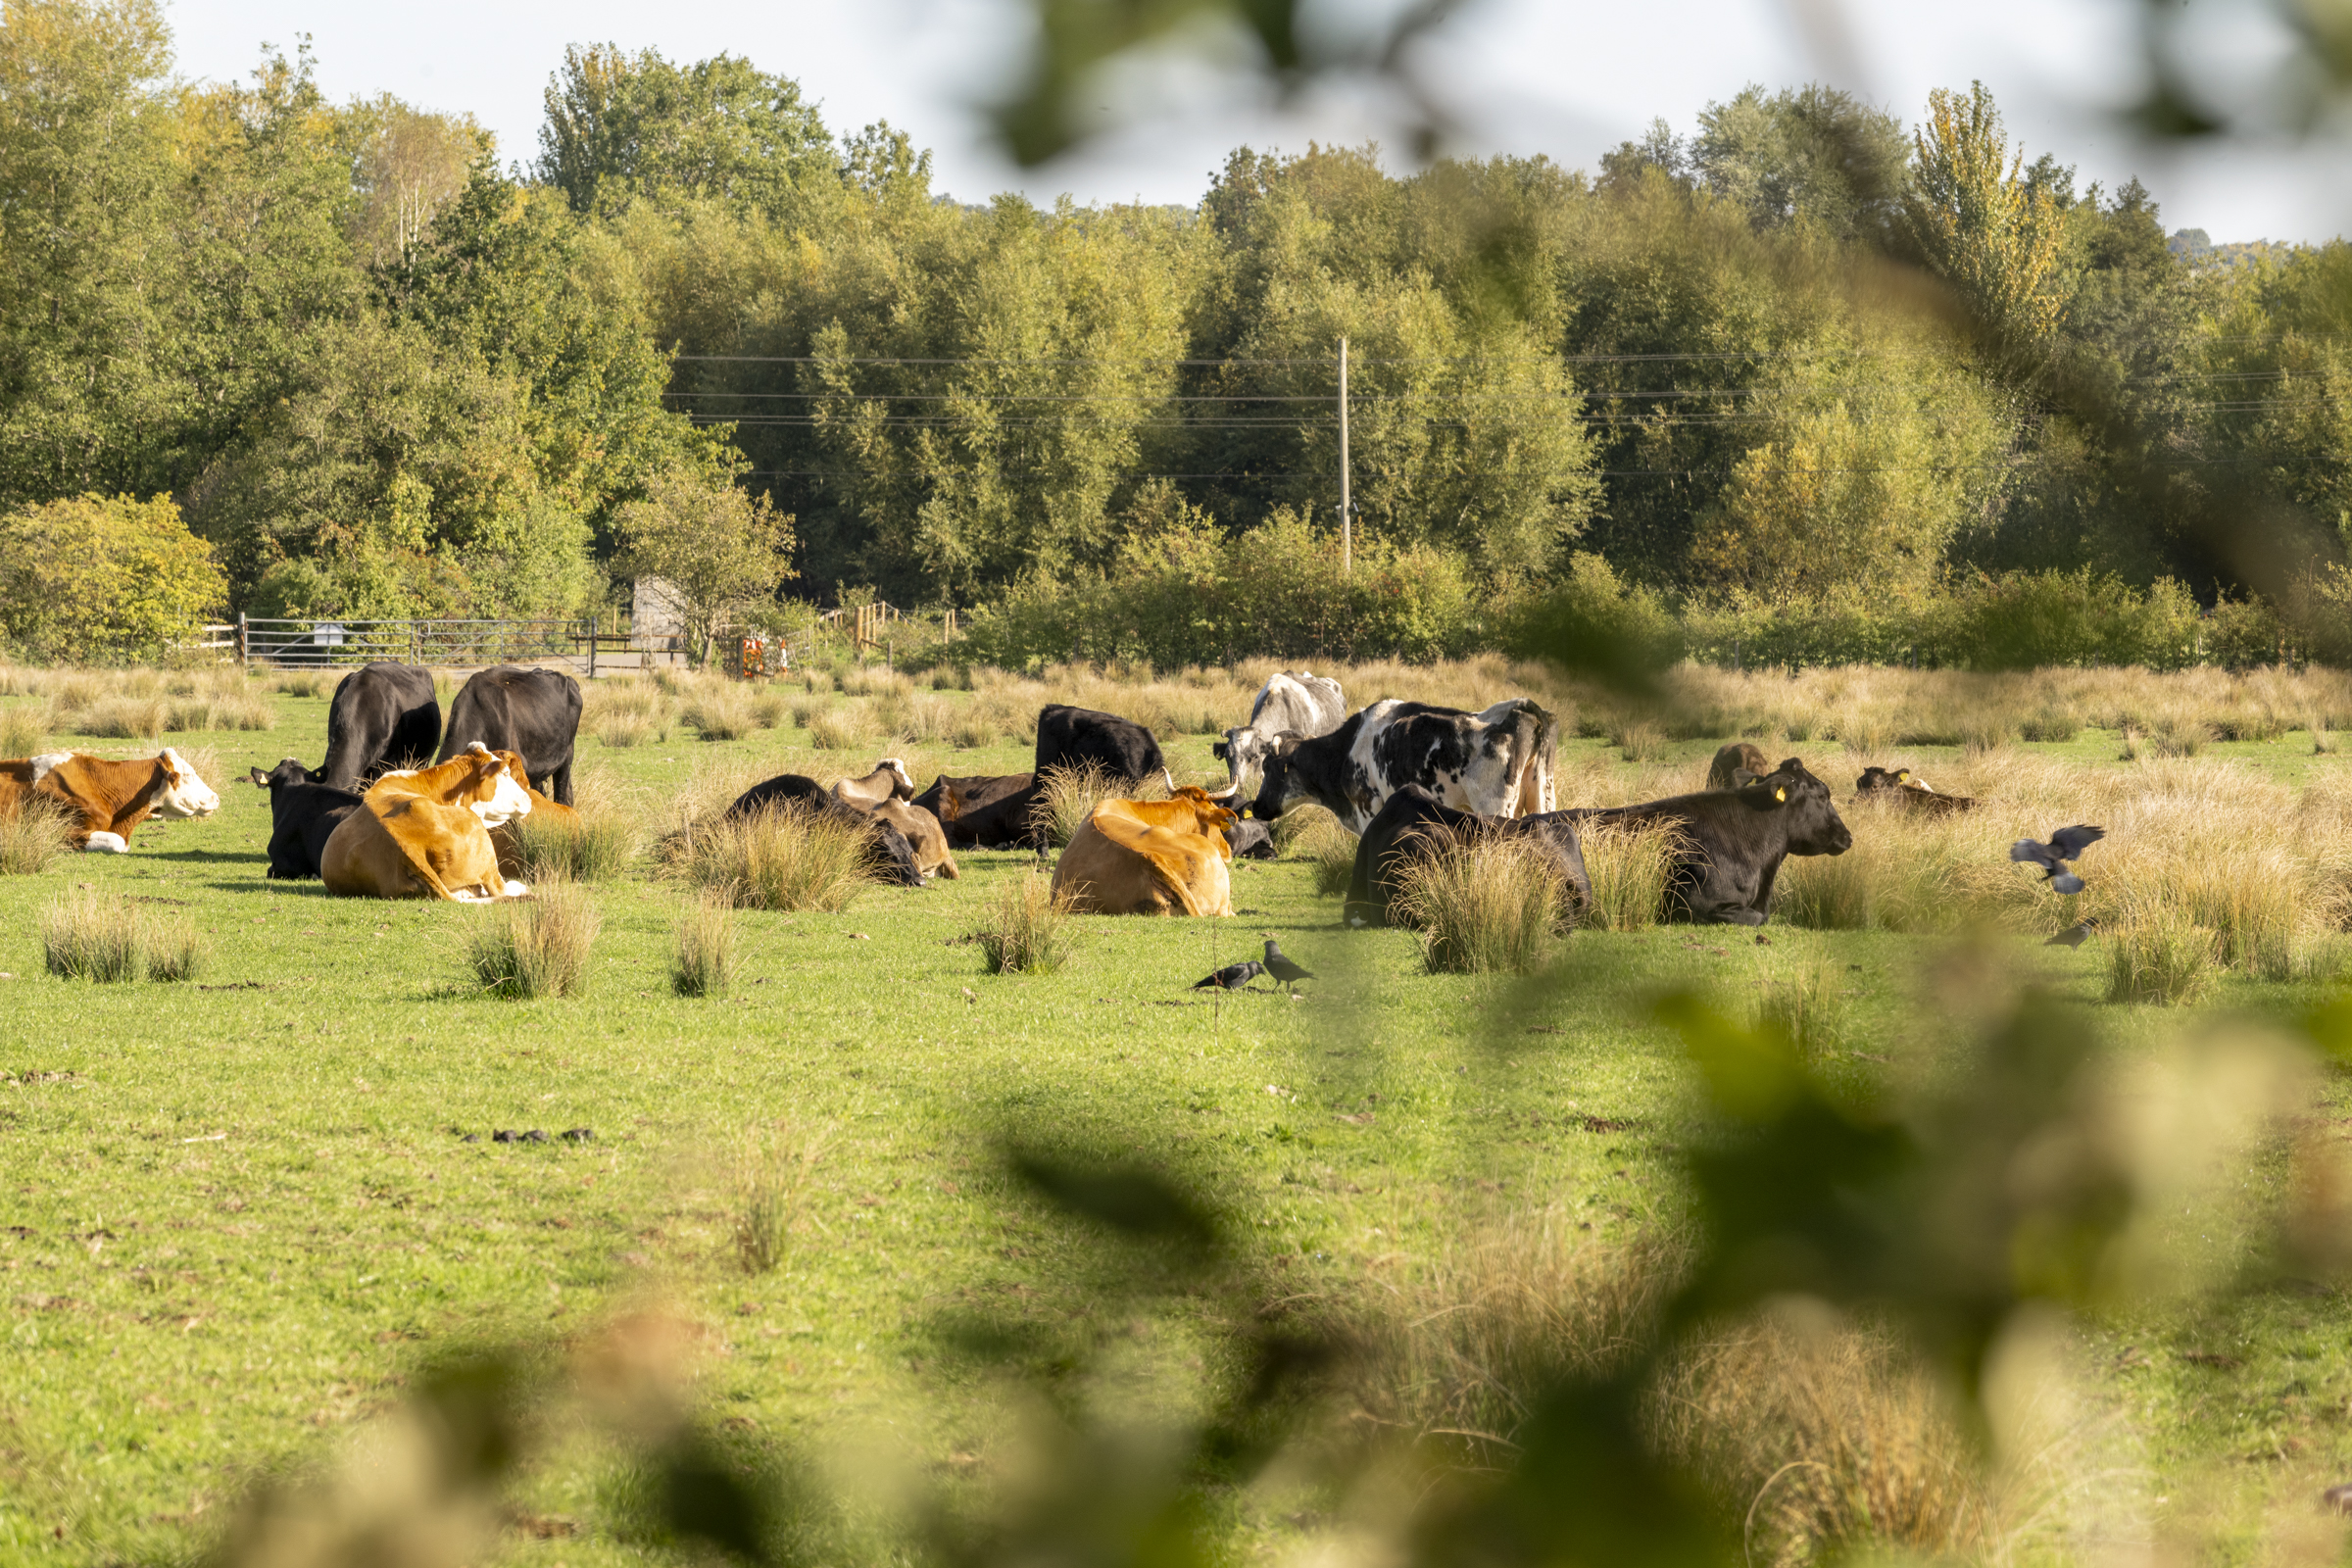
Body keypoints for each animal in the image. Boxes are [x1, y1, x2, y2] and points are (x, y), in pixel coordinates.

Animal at [1248, 698, 1558, 835]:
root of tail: (1522, 705)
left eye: (1268, 769)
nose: (1256, 806)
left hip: (1495, 807)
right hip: (1544, 797)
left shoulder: (1368, 808)